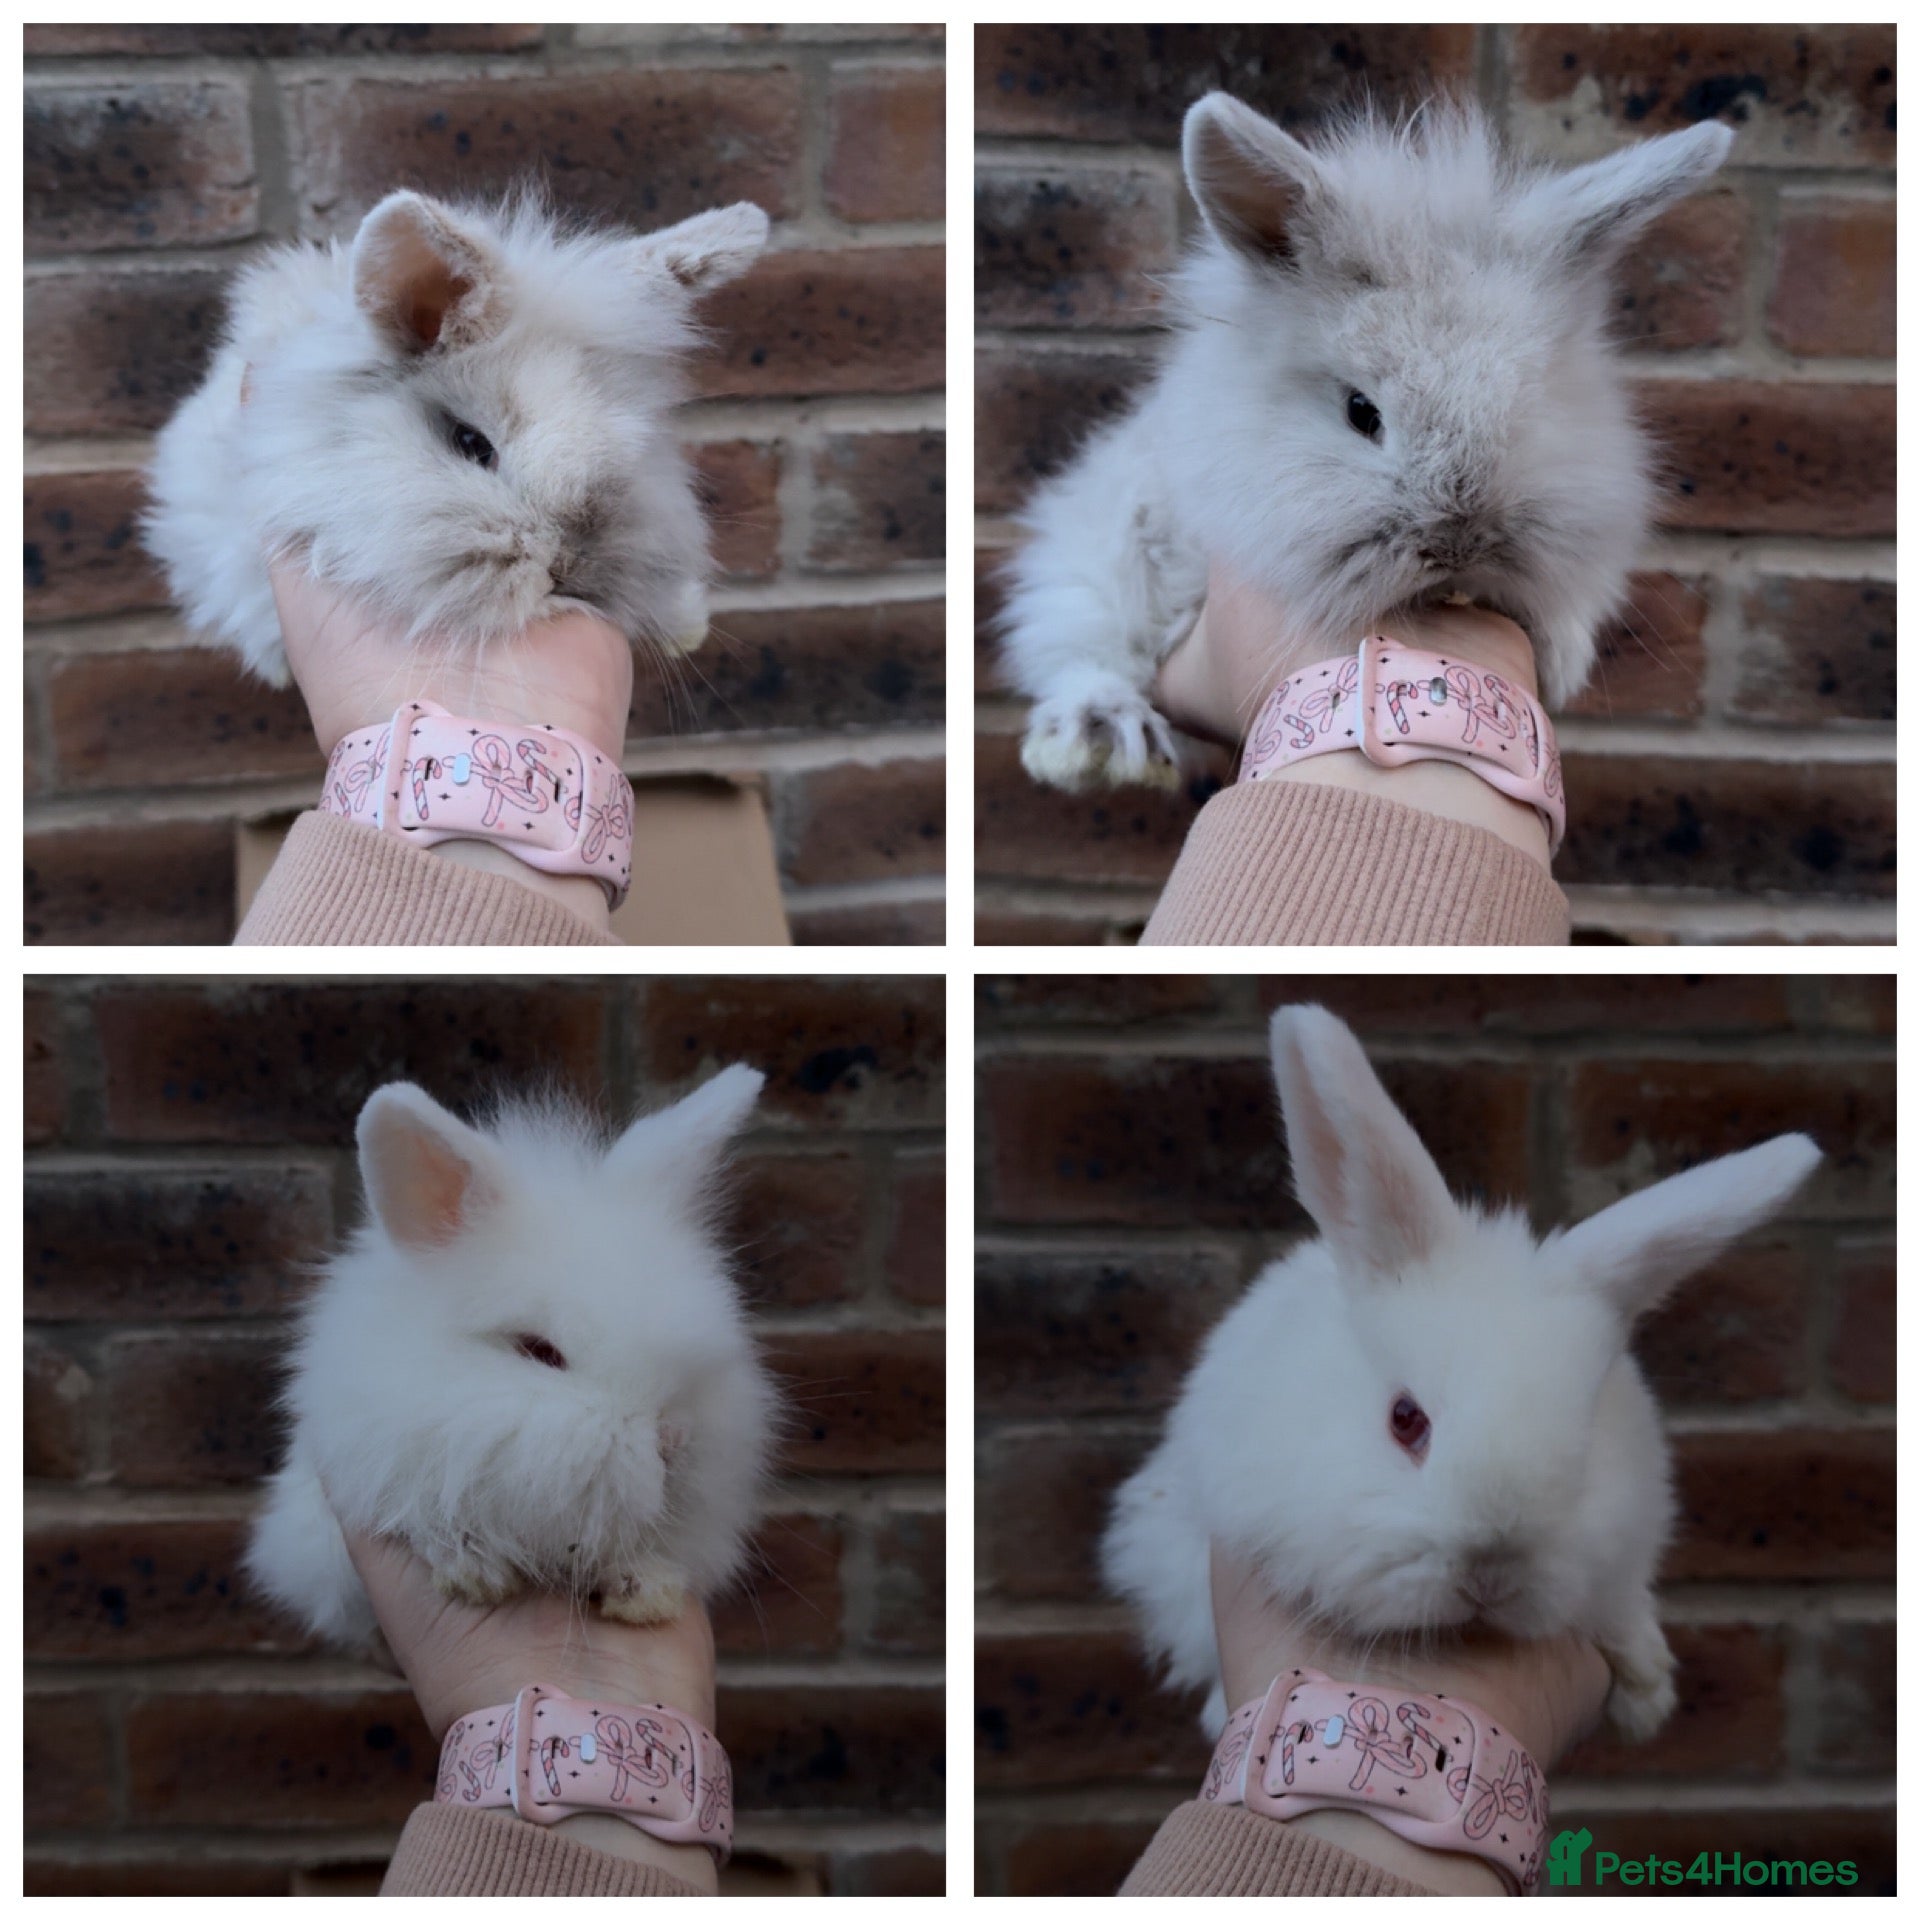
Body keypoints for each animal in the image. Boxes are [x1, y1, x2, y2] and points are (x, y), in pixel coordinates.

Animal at [999, 96, 1735, 791]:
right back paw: (1099, 735)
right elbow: (1085, 634)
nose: (1458, 545)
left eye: (1532, 403)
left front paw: (1560, 662)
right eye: (1361, 411)